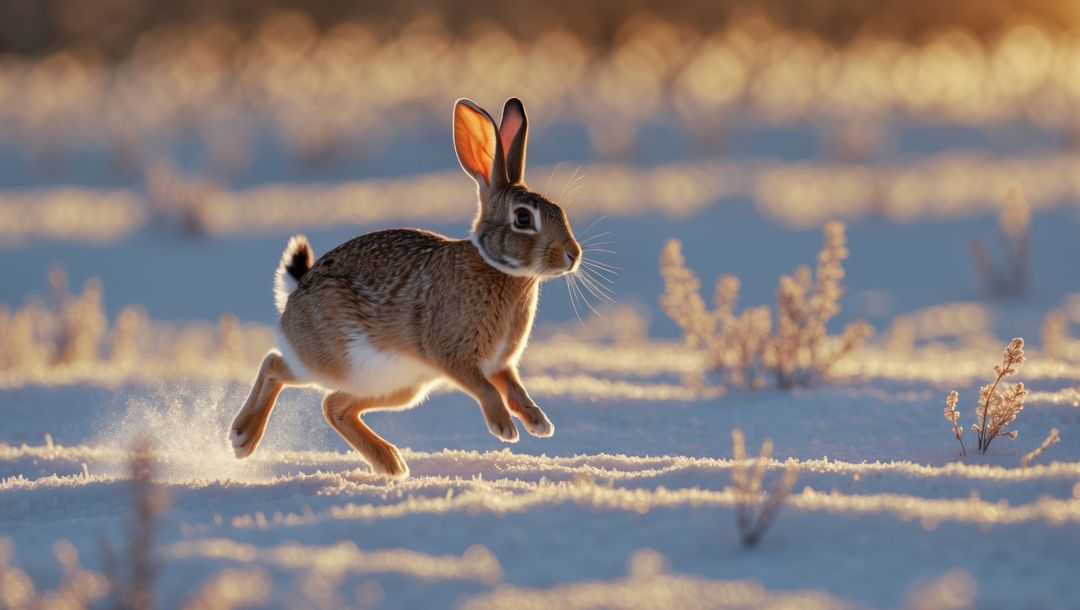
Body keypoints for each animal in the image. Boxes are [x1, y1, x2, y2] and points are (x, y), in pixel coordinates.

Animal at [229, 98, 582, 478]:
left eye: (558, 210)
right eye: (523, 218)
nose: (572, 255)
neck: (497, 267)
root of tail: (296, 294)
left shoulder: (499, 363)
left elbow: (513, 386)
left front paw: (538, 423)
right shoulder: (452, 356)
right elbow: (484, 389)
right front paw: (503, 427)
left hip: (398, 387)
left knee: (333, 405)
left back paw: (390, 463)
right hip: (331, 362)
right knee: (275, 366)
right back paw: (242, 438)